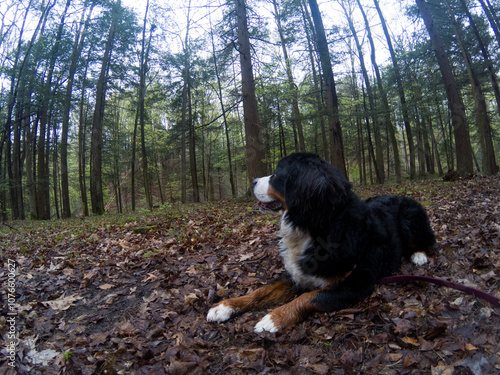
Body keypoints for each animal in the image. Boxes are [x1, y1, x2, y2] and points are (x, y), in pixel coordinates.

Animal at [207, 153, 434, 334]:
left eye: (277, 175)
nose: (253, 181)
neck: (313, 226)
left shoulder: (356, 283)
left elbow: (308, 298)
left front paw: (273, 318)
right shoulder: (296, 273)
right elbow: (260, 291)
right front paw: (225, 306)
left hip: (409, 217)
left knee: (428, 242)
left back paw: (419, 256)